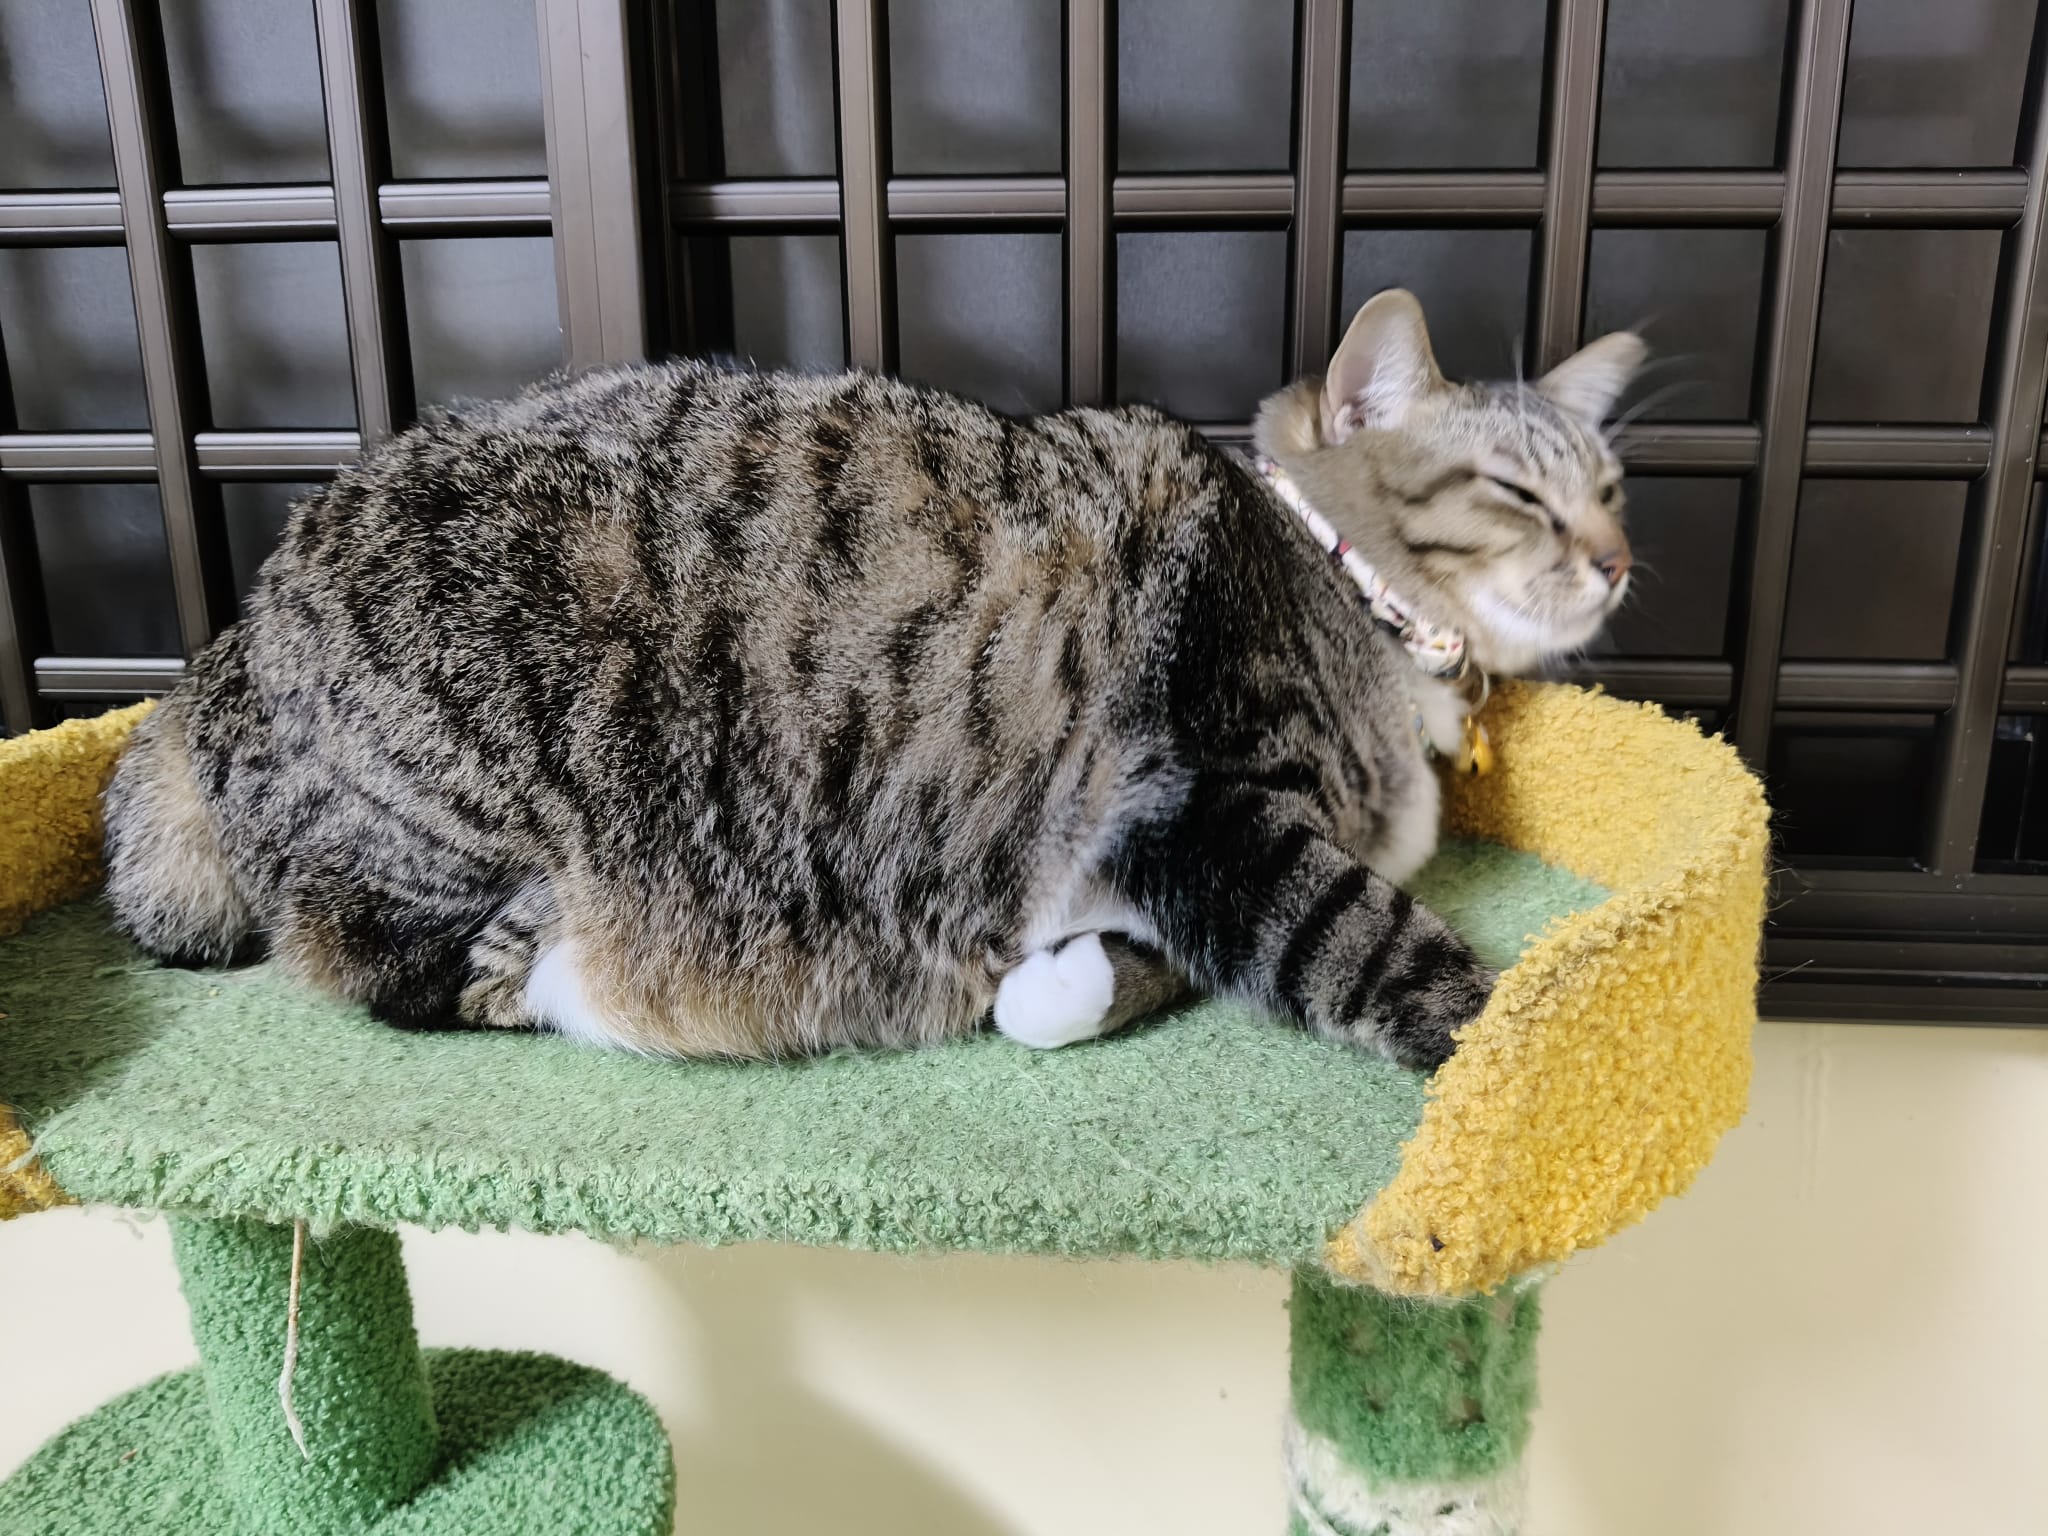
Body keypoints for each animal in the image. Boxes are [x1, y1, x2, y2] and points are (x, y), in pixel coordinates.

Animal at [102, 290, 1641, 1072]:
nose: (1619, 559)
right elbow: (1364, 935)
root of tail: (214, 658)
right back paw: (553, 964)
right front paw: (1517, 1052)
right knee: (389, 966)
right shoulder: (1200, 801)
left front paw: (1045, 987)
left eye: (1612, 486)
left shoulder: (1149, 869)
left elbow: (1109, 978)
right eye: (1521, 492)